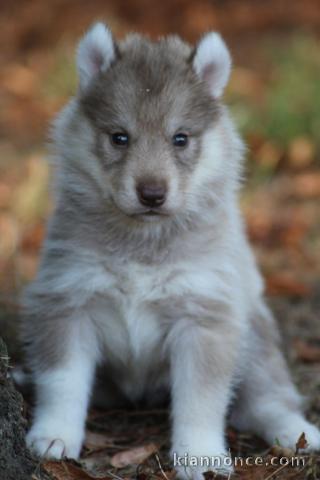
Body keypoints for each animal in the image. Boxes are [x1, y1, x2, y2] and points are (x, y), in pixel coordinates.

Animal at [21, 23, 318, 480]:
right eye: (119, 137)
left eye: (180, 139)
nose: (152, 193)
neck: (143, 244)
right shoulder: (68, 303)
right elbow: (62, 382)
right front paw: (53, 437)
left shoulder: (204, 320)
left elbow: (200, 402)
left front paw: (202, 456)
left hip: (254, 340)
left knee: (269, 398)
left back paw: (295, 432)